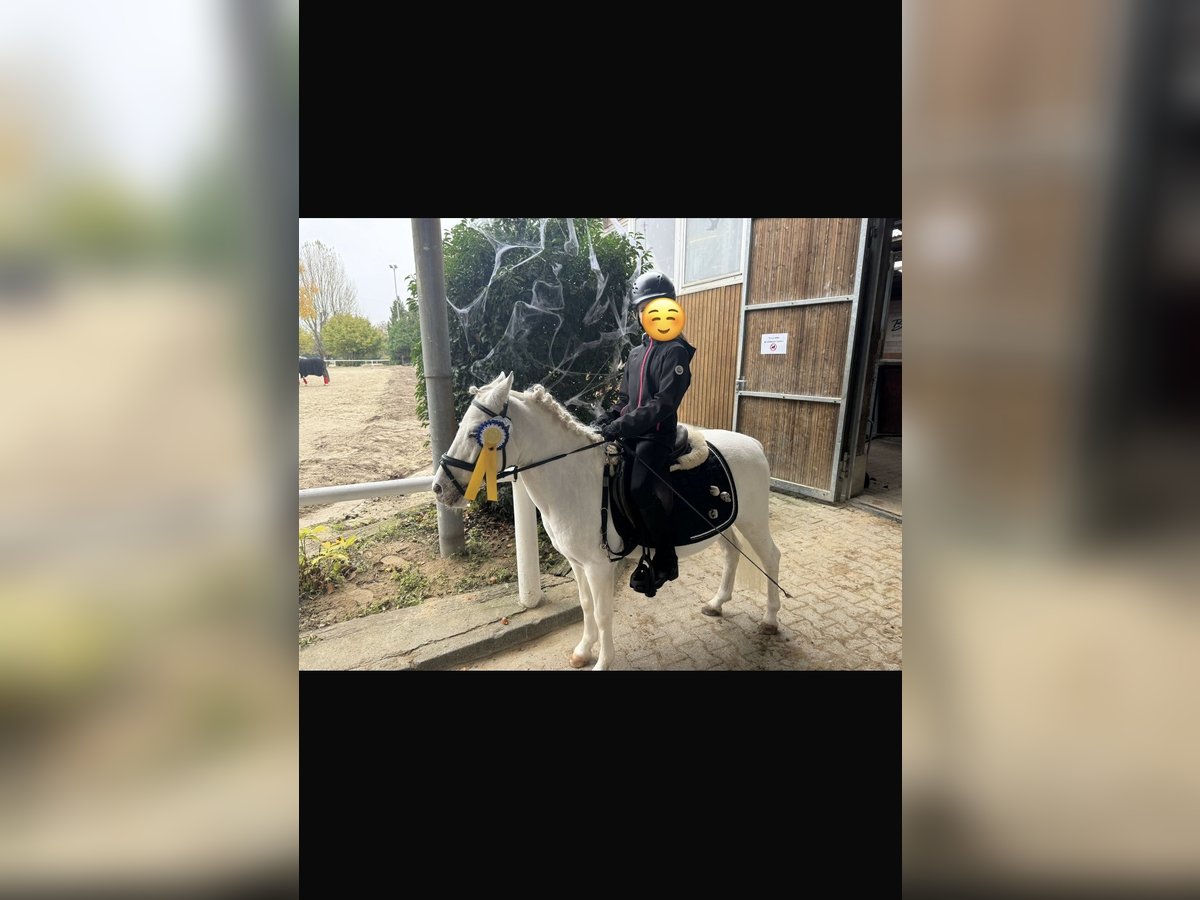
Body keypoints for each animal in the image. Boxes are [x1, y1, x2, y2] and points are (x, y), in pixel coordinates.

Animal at [436, 369, 782, 672]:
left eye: (475, 433)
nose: (440, 488)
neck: (576, 480)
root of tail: (753, 444)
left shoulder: (598, 566)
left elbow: (603, 613)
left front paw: (603, 662)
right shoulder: (577, 562)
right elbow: (586, 606)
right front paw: (582, 652)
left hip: (753, 521)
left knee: (771, 557)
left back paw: (770, 619)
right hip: (726, 525)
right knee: (732, 554)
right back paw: (717, 602)